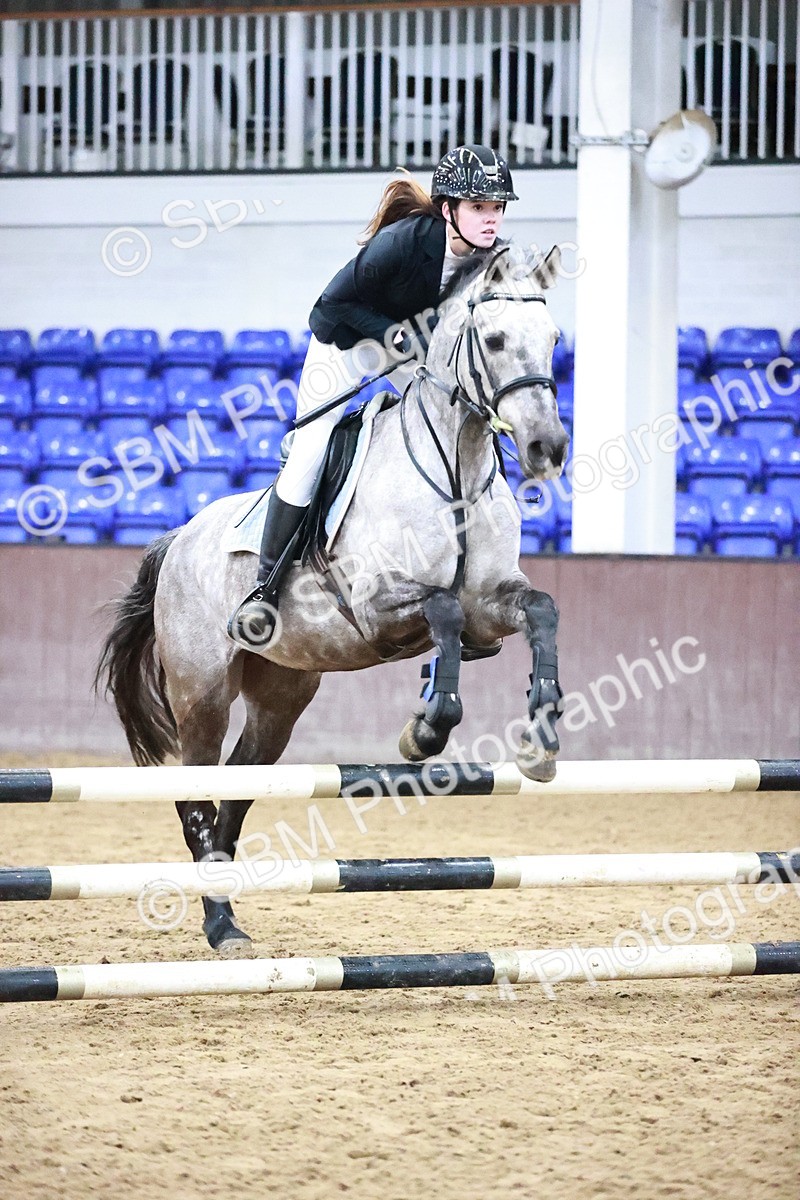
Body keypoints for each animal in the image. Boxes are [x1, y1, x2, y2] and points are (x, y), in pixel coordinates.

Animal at [96, 242, 570, 956]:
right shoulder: (378, 608)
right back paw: (219, 925)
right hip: (201, 692)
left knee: (236, 795)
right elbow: (443, 610)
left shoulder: (492, 604)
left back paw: (227, 917)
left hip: (281, 698)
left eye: (554, 339)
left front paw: (539, 739)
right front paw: (425, 731)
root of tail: (178, 538)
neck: (455, 466)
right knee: (196, 797)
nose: (548, 448)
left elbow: (538, 609)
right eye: (494, 340)